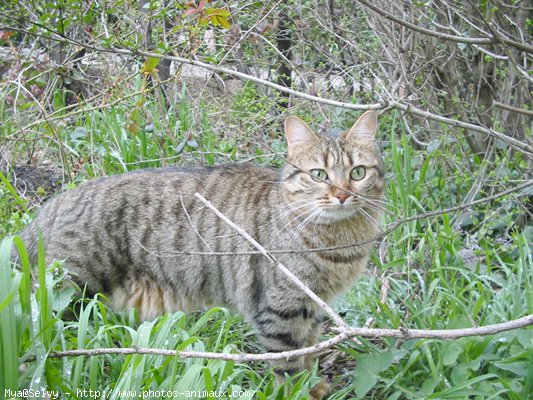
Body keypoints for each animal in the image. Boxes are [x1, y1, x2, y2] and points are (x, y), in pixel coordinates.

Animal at [17, 110, 382, 400]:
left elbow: (308, 353)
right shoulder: (280, 310)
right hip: (67, 295)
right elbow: (288, 363)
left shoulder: (315, 308)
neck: (339, 242)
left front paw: (313, 383)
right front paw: (300, 392)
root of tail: (54, 204)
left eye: (358, 173)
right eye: (319, 174)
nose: (342, 195)